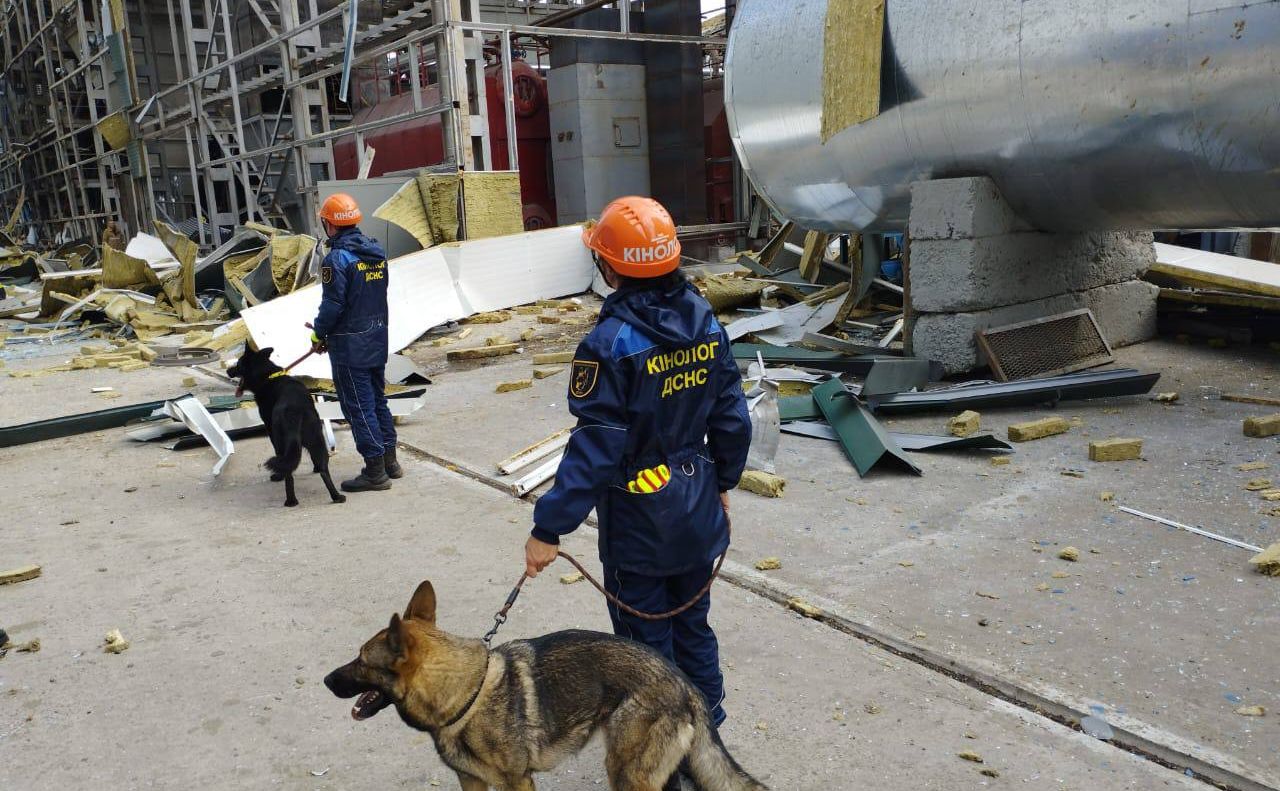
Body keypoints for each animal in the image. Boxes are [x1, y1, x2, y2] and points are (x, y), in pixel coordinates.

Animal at [225, 345, 345, 504]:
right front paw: (315, 468)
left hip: (282, 441)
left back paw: (290, 501)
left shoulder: (270, 430)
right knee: (324, 469)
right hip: (317, 439)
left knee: (288, 472)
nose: (227, 371)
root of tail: (295, 410)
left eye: (238, 364)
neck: (267, 376)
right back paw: (336, 496)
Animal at [327, 578, 768, 788]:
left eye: (361, 660)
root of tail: (683, 681)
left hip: (626, 773)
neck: (463, 695)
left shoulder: (518, 782)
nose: (326, 680)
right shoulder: (472, 783)